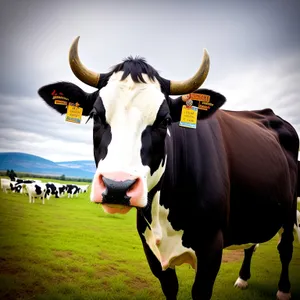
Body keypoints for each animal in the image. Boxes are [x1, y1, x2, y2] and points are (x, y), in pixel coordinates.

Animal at [38, 37, 300, 300]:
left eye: (164, 121)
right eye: (95, 115)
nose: (117, 187)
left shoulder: (211, 249)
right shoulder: (150, 248)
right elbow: (170, 288)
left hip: (290, 210)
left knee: (285, 247)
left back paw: (284, 290)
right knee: (252, 244)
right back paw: (243, 278)